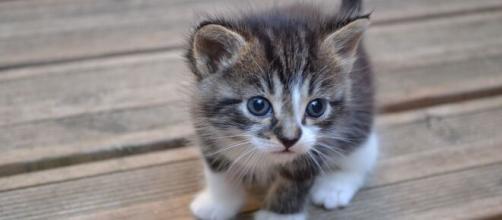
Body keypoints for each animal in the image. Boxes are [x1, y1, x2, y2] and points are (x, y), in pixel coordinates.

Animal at [186, 0, 378, 219]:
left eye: (316, 107)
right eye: (258, 105)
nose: (289, 139)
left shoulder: (317, 143)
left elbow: (296, 177)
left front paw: (278, 215)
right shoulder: (204, 123)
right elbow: (218, 168)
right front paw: (218, 203)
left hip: (359, 116)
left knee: (362, 154)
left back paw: (335, 186)